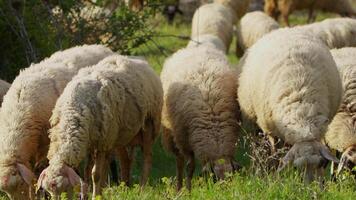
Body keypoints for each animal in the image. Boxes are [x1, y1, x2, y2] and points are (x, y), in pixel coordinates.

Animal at [36, 54, 163, 198]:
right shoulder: (92, 142)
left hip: (149, 123)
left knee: (147, 157)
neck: (73, 111)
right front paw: (88, 195)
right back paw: (126, 187)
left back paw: (142, 189)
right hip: (120, 134)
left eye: (65, 188)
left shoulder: (101, 143)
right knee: (125, 159)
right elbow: (87, 173)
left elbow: (95, 174)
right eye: (48, 191)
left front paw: (95, 196)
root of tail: (137, 58)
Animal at [161, 45, 239, 191]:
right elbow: (190, 167)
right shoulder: (184, 140)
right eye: (214, 178)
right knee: (179, 161)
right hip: (172, 133)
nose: (225, 193)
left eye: (231, 178)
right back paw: (179, 188)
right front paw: (188, 190)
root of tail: (193, 48)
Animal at [238, 28, 340, 184]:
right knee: (259, 150)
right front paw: (276, 178)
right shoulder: (271, 132)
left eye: (322, 163)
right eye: (297, 167)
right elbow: (276, 157)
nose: (312, 187)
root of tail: (283, 29)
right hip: (252, 124)